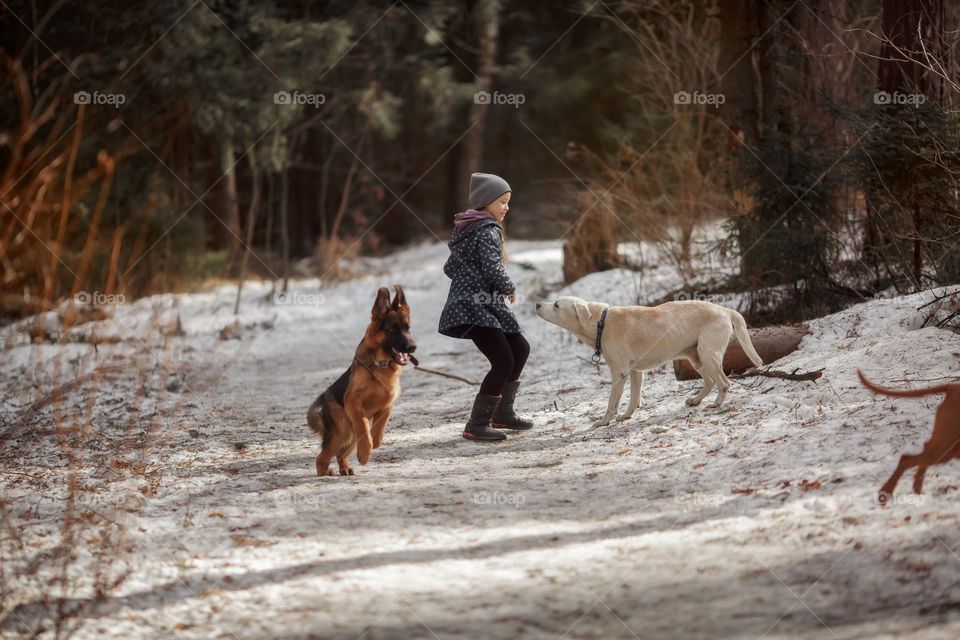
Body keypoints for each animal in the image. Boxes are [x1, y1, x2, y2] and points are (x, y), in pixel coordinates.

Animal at [306, 284, 414, 476]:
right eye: (392, 330)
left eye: (408, 328)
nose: (412, 347)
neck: (381, 366)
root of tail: (324, 397)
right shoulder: (353, 401)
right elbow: (363, 425)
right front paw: (364, 453)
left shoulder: (387, 406)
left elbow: (377, 434)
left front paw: (369, 446)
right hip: (341, 433)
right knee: (322, 456)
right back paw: (324, 472)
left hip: (348, 437)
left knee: (341, 453)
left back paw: (345, 468)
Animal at [536, 298, 760, 428]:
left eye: (556, 305)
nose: (537, 304)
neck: (601, 323)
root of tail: (724, 309)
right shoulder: (636, 372)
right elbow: (634, 398)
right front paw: (627, 416)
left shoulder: (619, 373)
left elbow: (612, 403)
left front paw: (604, 421)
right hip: (696, 358)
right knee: (710, 381)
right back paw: (695, 400)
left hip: (707, 354)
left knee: (724, 382)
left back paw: (717, 404)